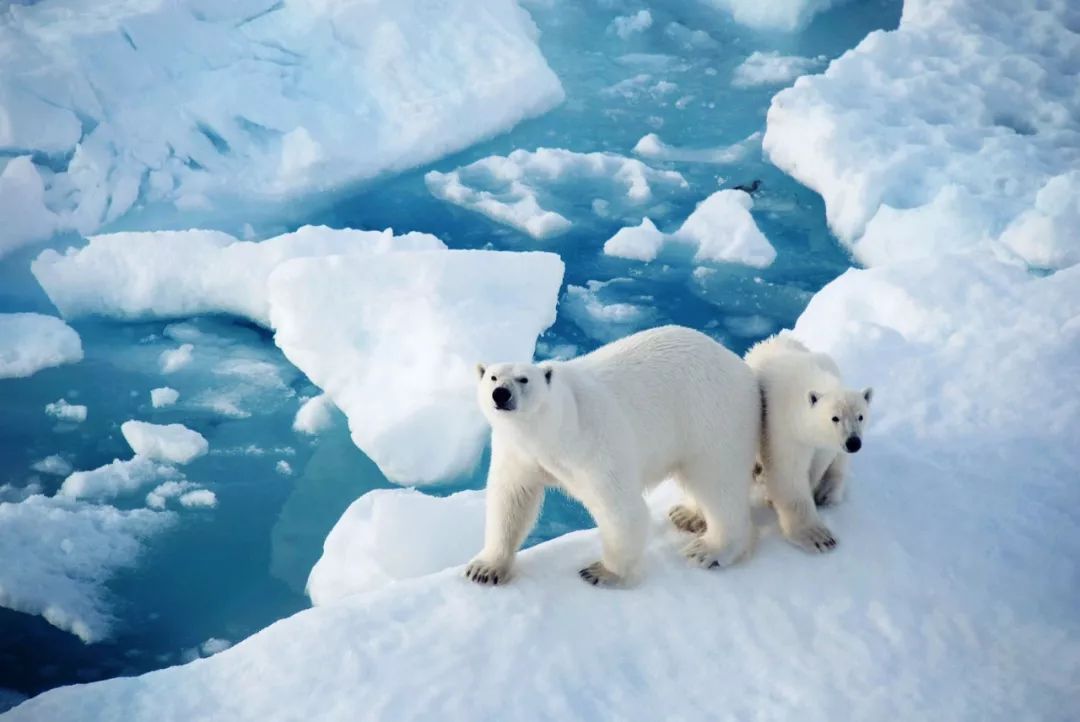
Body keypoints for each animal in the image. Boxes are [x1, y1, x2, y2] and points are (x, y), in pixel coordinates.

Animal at [464, 325, 760, 587]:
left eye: (523, 379)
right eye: (492, 377)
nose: (501, 394)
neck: (553, 429)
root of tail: (741, 367)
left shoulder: (592, 443)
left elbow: (620, 507)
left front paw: (602, 572)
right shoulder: (518, 452)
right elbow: (511, 500)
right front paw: (484, 569)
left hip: (711, 415)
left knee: (718, 481)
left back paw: (710, 549)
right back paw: (688, 515)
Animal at [743, 334, 868, 552]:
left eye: (860, 416)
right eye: (835, 418)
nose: (853, 442)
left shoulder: (823, 444)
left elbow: (818, 463)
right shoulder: (781, 422)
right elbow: (788, 471)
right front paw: (818, 536)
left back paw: (827, 494)